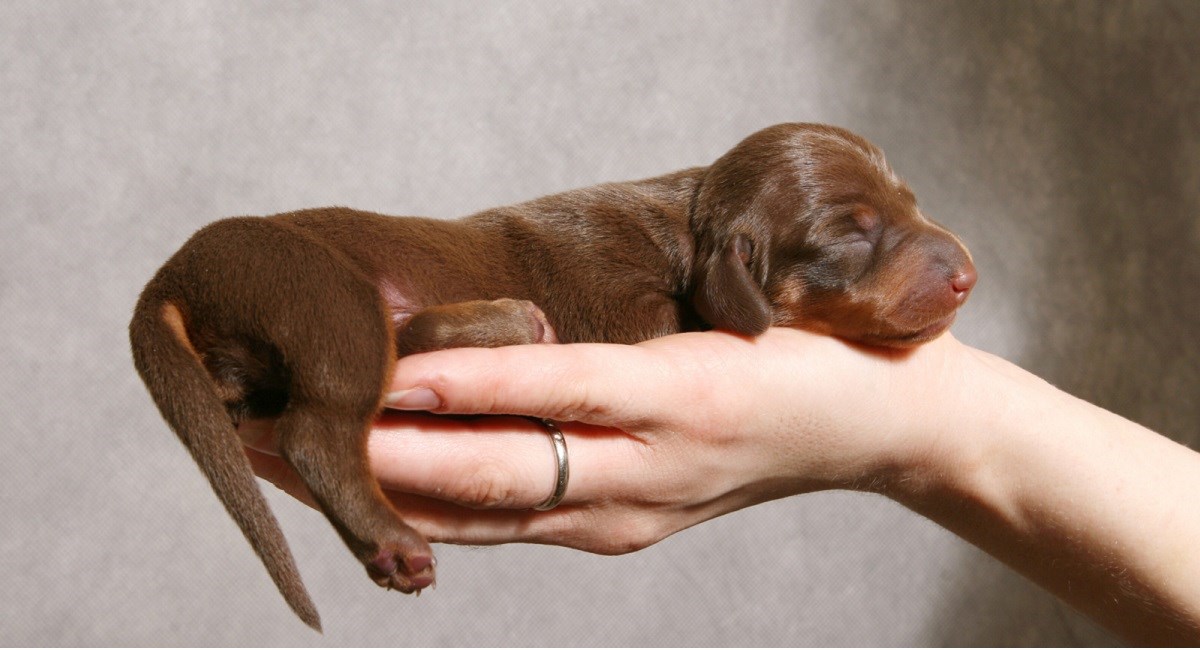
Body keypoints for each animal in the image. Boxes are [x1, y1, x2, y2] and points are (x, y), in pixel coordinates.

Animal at [129, 122, 974, 633]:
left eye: (911, 203)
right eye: (848, 233)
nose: (966, 273)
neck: (689, 229)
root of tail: (176, 272)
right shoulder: (625, 311)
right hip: (324, 297)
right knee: (320, 425)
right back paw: (398, 536)